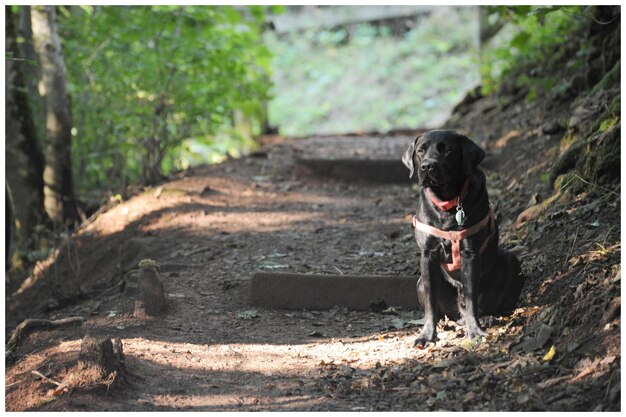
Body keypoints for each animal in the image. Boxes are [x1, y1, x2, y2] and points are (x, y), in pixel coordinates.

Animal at [400, 129, 520, 344]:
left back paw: (486, 318)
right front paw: (427, 335)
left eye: (446, 149)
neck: (447, 201)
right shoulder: (428, 255)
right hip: (420, 282)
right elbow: (431, 304)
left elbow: (472, 298)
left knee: (487, 304)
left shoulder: (470, 255)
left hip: (511, 260)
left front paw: (475, 331)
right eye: (420, 151)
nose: (426, 166)